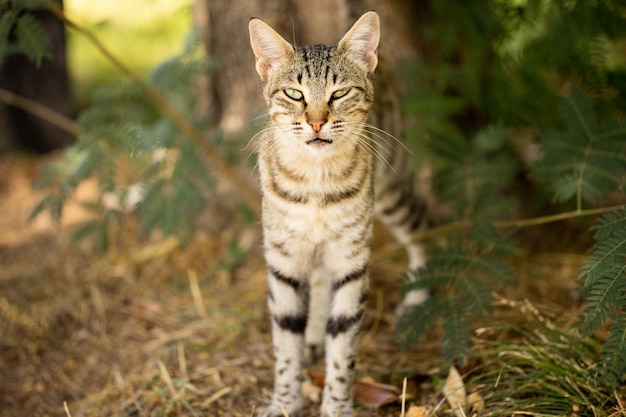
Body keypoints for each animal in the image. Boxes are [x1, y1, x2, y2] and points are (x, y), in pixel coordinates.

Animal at [249, 9, 428, 416]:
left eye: (340, 93)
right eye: (294, 93)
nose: (316, 122)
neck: (316, 185)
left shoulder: (351, 260)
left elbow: (344, 346)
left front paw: (336, 405)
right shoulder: (283, 259)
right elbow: (285, 342)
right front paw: (285, 401)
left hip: (391, 193)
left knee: (423, 222)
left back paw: (417, 296)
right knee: (316, 280)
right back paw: (313, 336)